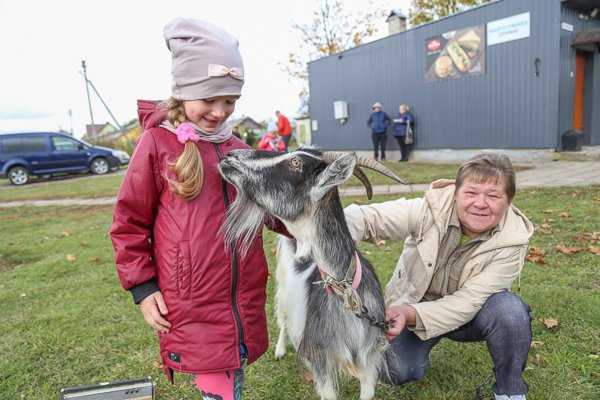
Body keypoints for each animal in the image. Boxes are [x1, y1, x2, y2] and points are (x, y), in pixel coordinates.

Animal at [218, 146, 405, 400]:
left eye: (296, 163)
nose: (230, 154)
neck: (346, 290)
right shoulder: (320, 360)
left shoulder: (369, 360)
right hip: (282, 282)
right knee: (283, 316)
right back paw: (279, 349)